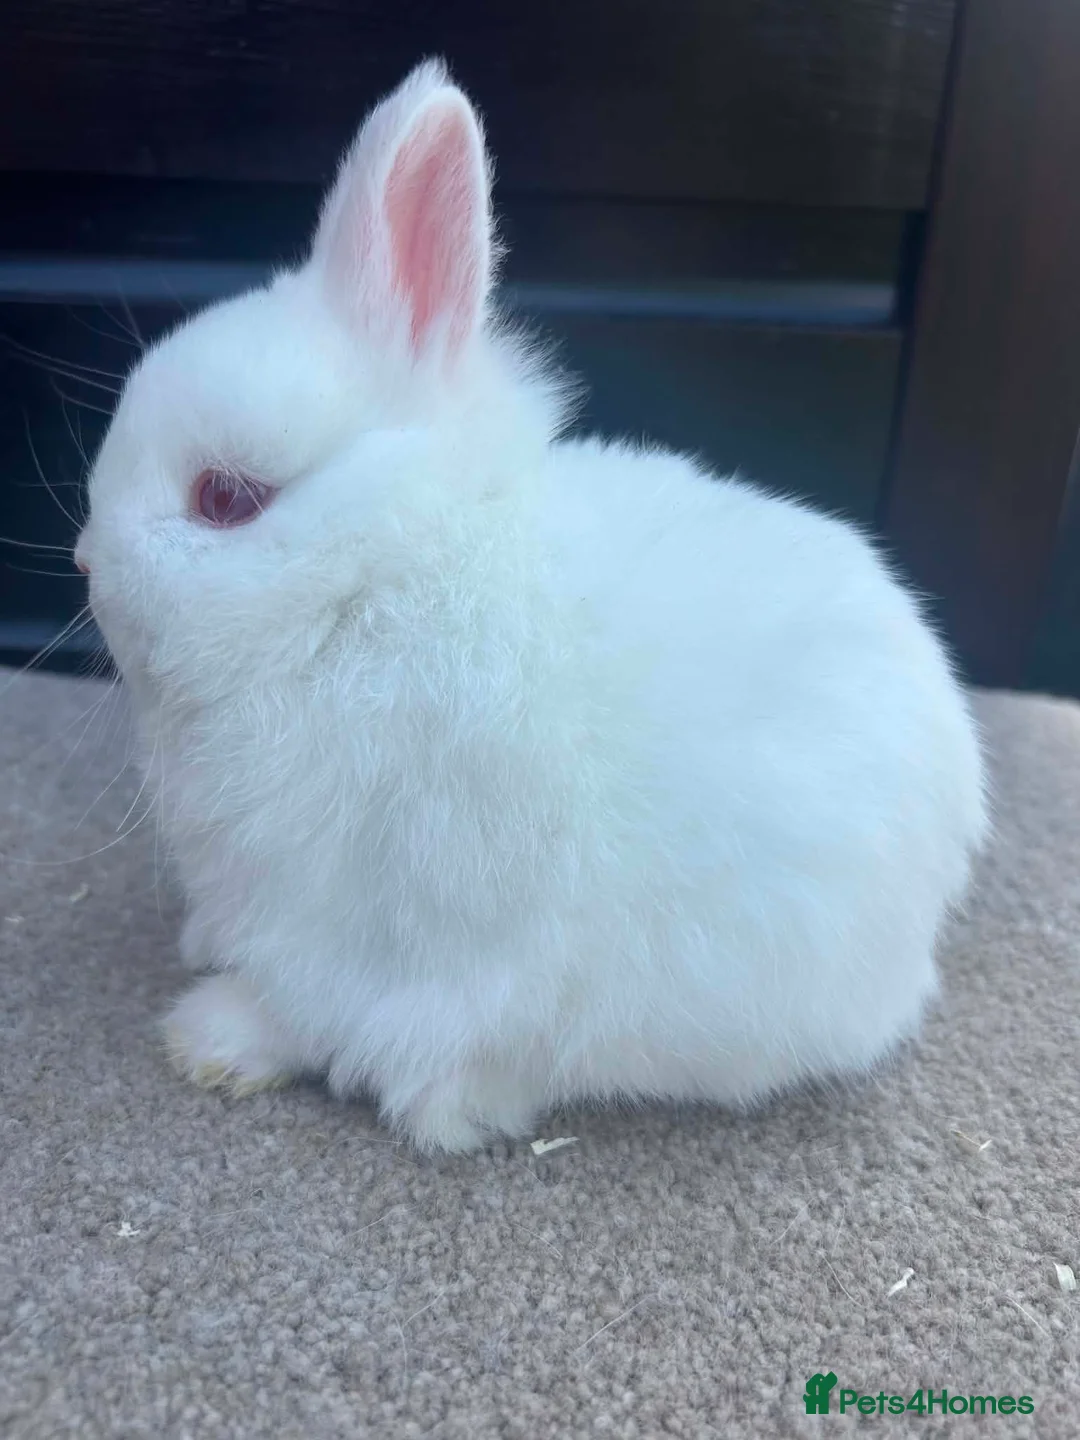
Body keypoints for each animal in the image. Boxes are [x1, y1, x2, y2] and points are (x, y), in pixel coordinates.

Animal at [74, 59, 987, 1152]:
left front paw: (210, 1040)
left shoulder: (362, 929)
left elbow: (315, 1013)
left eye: (225, 499)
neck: (372, 589)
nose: (85, 564)